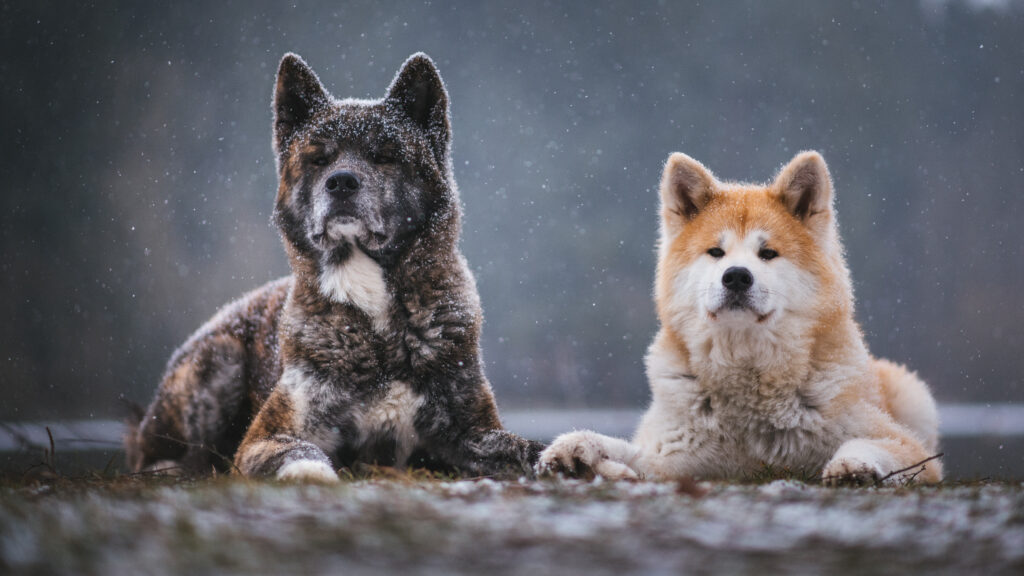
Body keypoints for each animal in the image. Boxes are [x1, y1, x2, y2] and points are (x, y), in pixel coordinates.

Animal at [125, 51, 544, 479]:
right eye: (319, 159)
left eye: (384, 156)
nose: (341, 181)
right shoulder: (269, 434)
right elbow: (300, 452)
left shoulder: (468, 431)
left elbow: (523, 447)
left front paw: (563, 451)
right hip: (220, 360)